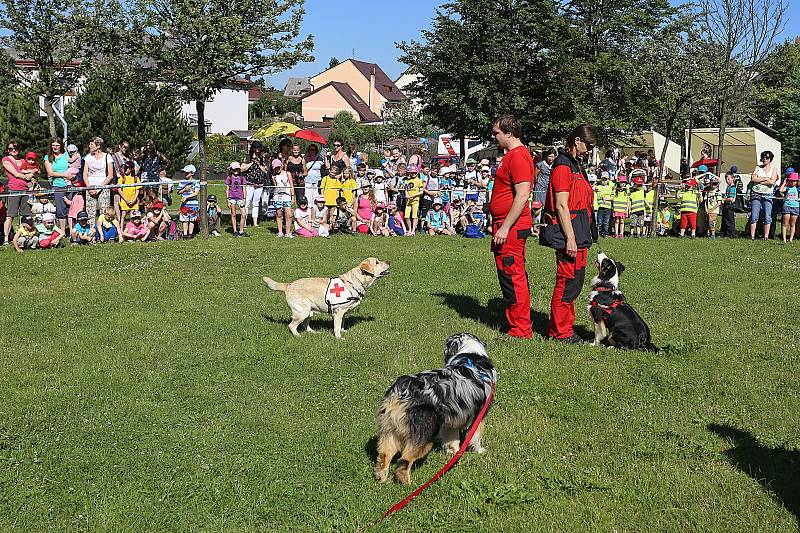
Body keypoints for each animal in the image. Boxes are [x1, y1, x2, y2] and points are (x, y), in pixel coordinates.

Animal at [262, 256, 390, 336]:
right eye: (377, 262)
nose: (389, 261)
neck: (355, 281)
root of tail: (288, 284)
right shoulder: (339, 311)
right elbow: (337, 327)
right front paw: (339, 338)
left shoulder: (343, 312)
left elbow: (342, 324)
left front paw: (343, 331)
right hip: (302, 311)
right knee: (292, 325)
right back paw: (298, 335)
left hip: (309, 311)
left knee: (305, 325)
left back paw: (313, 332)